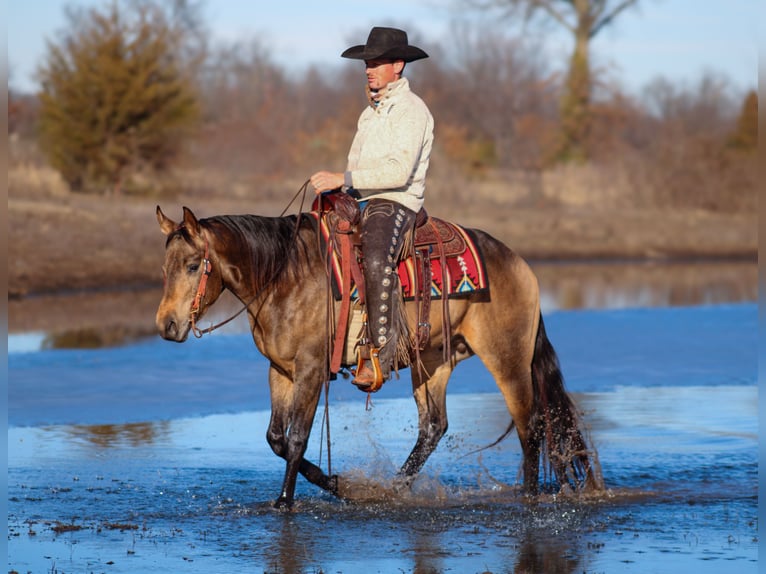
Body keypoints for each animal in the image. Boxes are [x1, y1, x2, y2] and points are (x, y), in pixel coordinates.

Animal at [158, 200, 608, 510]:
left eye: (194, 265)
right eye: (165, 268)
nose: (166, 325)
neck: (285, 277)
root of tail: (519, 264)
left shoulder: (309, 371)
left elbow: (298, 438)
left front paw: (285, 502)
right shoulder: (280, 371)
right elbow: (275, 438)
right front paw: (340, 485)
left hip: (507, 358)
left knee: (529, 426)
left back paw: (528, 497)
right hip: (433, 361)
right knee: (433, 427)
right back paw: (391, 488)